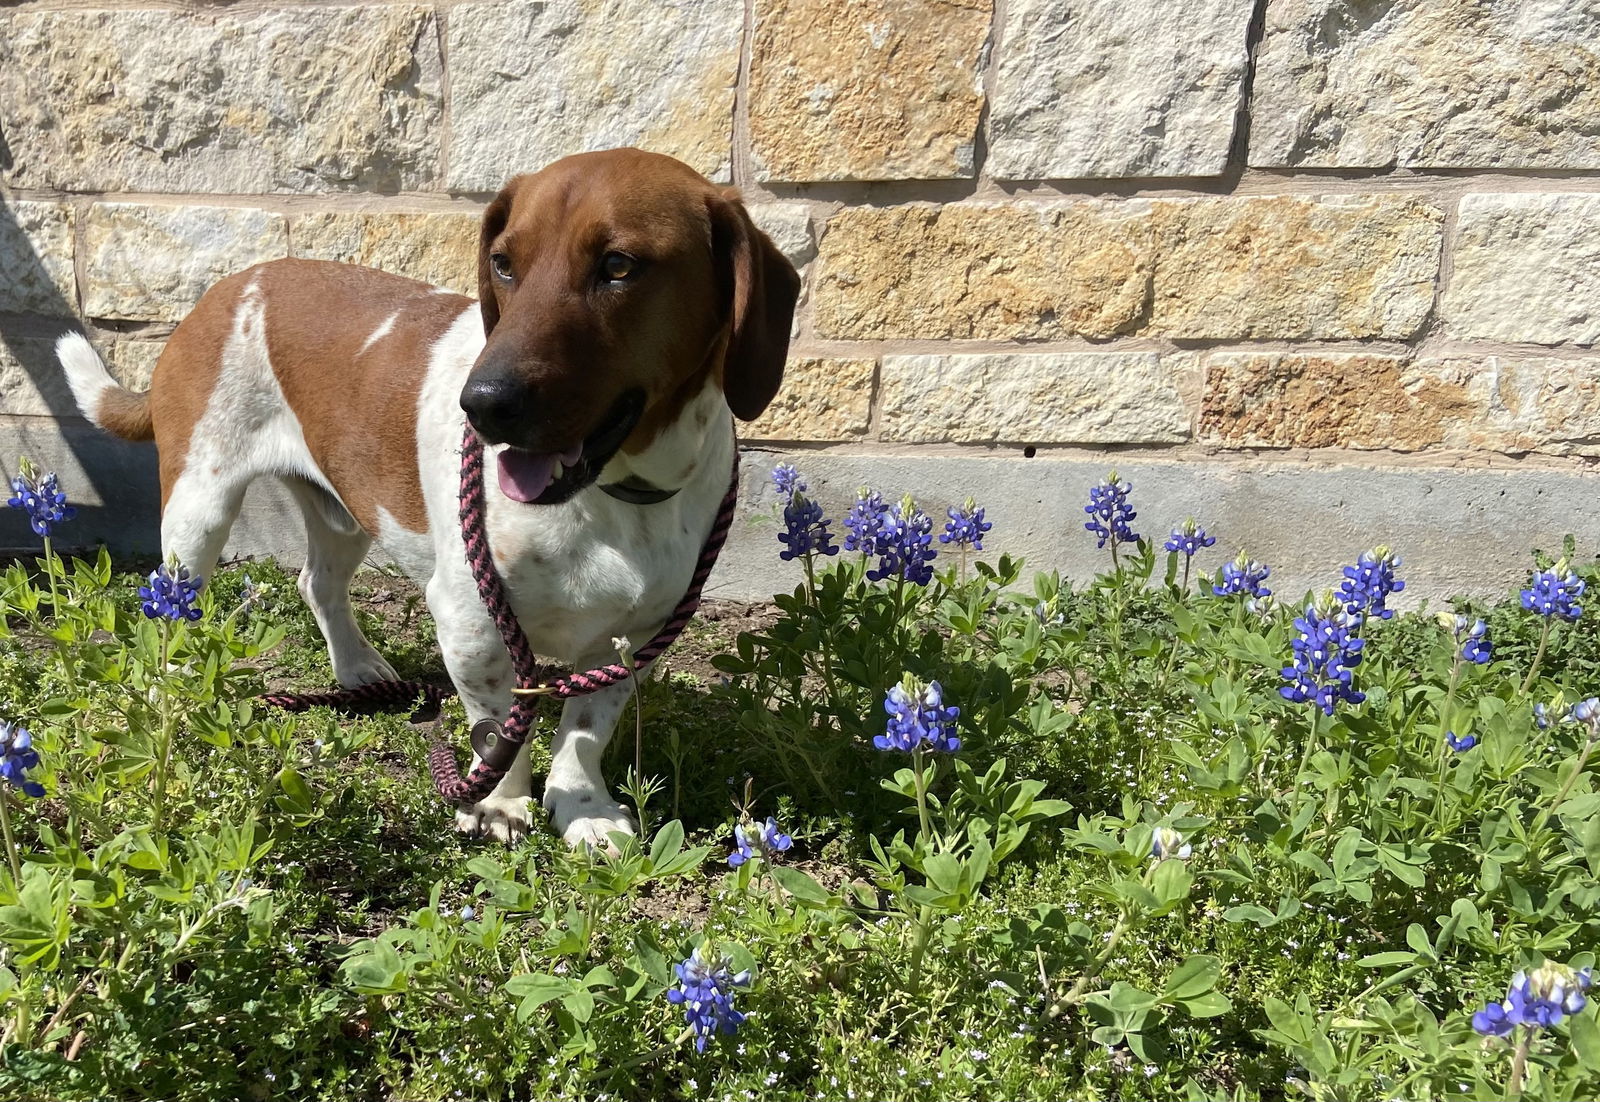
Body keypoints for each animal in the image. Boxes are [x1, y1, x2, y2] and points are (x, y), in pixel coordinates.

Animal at [59, 147, 800, 844]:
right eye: (503, 263)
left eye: (619, 265)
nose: (484, 404)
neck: (616, 496)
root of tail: (229, 286)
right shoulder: (471, 621)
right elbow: (499, 727)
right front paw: (498, 804)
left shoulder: (633, 639)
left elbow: (585, 732)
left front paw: (582, 806)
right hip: (199, 508)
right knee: (170, 606)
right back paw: (174, 682)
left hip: (345, 511)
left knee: (315, 583)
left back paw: (357, 667)